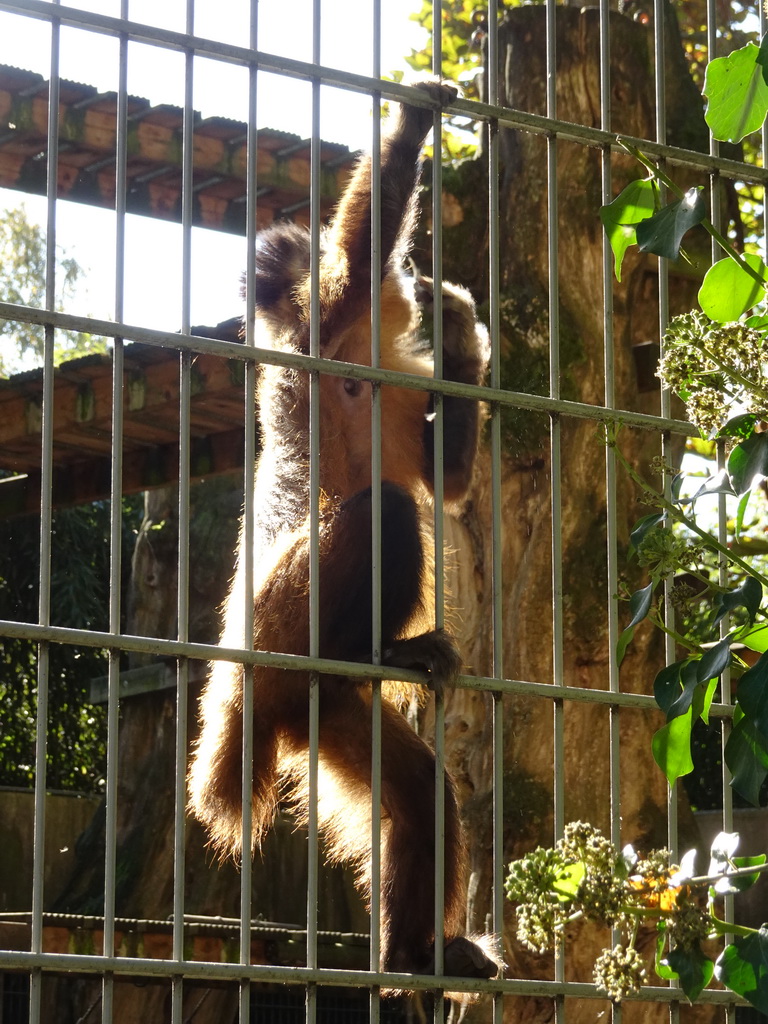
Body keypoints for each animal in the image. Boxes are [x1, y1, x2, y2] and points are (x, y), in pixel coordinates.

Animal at [189, 77, 495, 983]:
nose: (413, 271)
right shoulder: (327, 319)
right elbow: (358, 255)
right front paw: (416, 117)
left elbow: (450, 486)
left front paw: (458, 332)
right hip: (288, 617)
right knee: (384, 513)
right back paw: (383, 649)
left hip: (325, 714)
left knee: (418, 795)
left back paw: (417, 953)